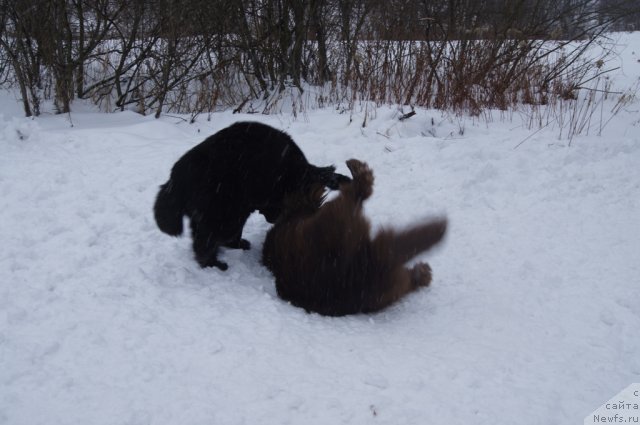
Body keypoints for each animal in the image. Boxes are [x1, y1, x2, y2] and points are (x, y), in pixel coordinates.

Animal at [152, 121, 348, 270]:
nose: (274, 219)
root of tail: (174, 180)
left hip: (228, 212)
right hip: (219, 212)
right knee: (205, 241)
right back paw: (213, 264)